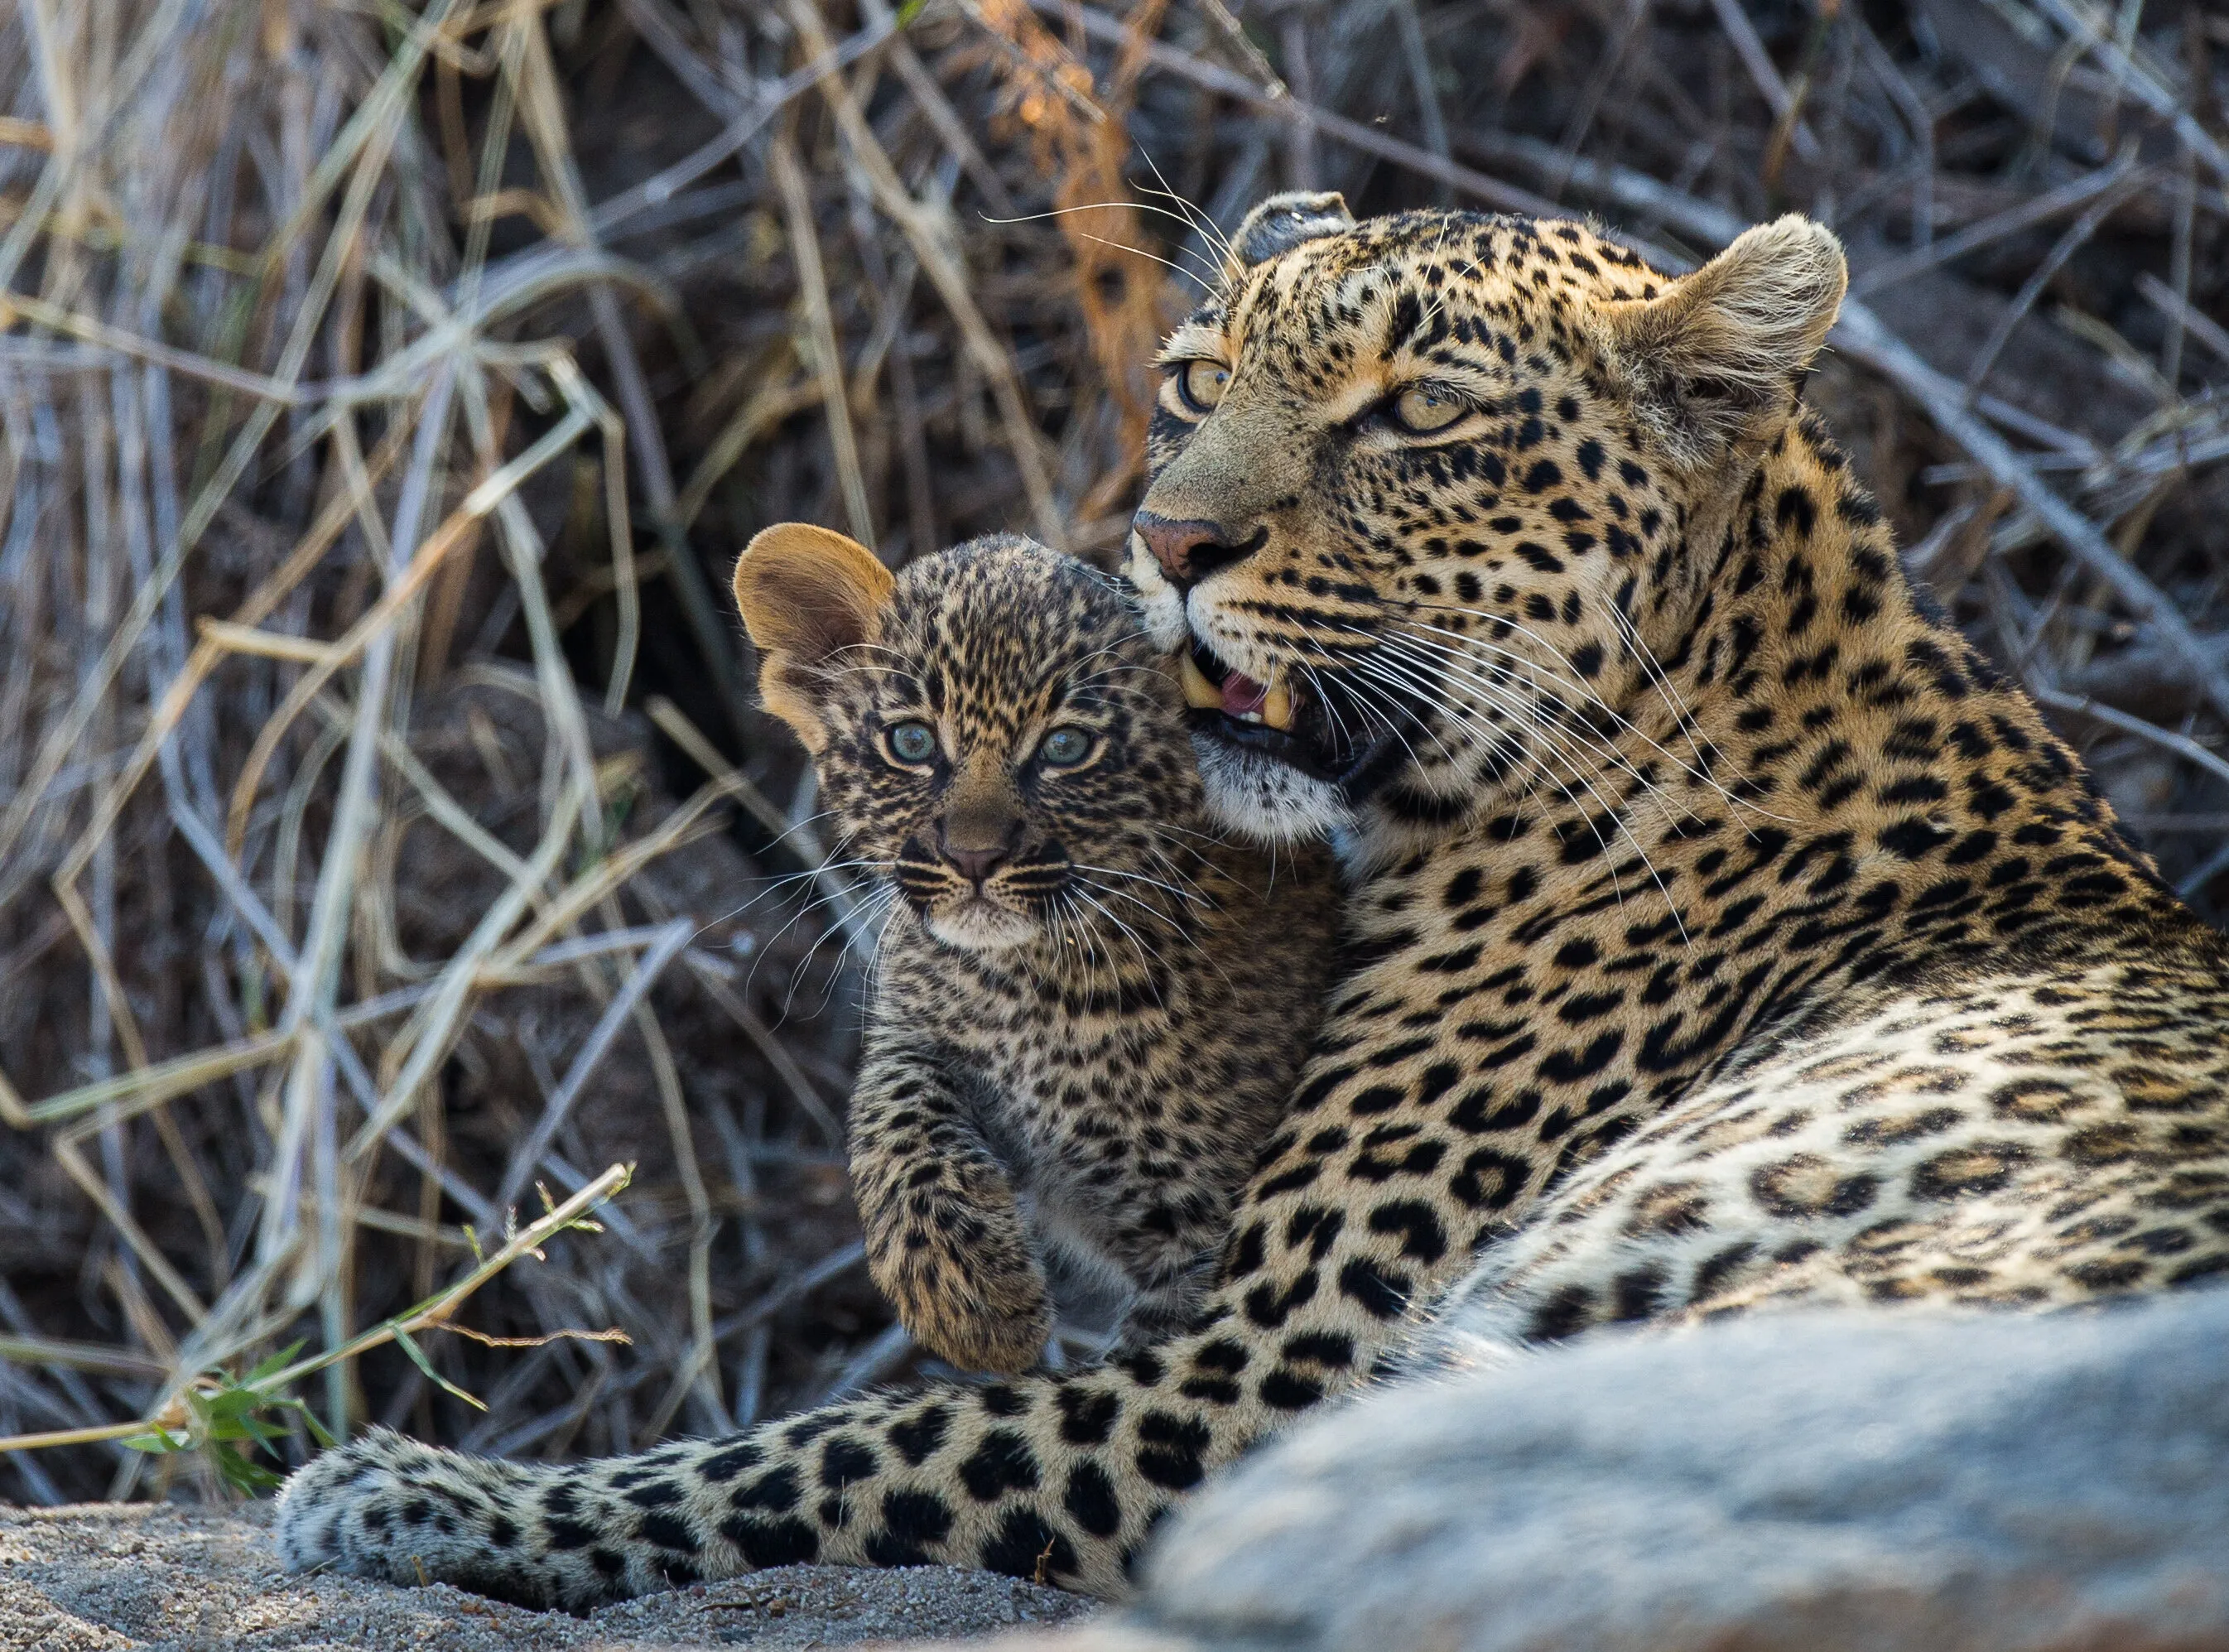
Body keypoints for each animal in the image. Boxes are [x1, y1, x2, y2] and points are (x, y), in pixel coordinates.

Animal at [730, 524, 1339, 1373]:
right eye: (912, 741)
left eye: (1066, 747)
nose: (973, 858)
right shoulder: (918, 1020)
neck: (1030, 986)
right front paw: (975, 1301)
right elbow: (892, 1102)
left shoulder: (1202, 1237)